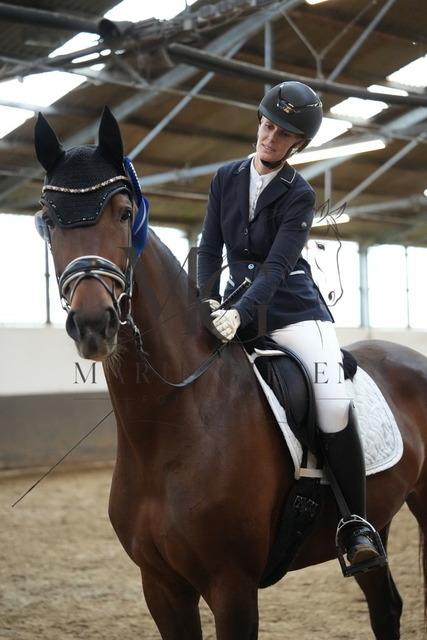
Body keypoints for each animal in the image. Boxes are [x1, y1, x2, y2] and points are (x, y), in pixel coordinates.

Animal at [33, 107, 427, 640]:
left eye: (122, 212)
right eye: (49, 220)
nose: (94, 323)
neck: (168, 423)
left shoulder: (231, 585)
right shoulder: (161, 587)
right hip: (381, 515)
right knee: (385, 606)